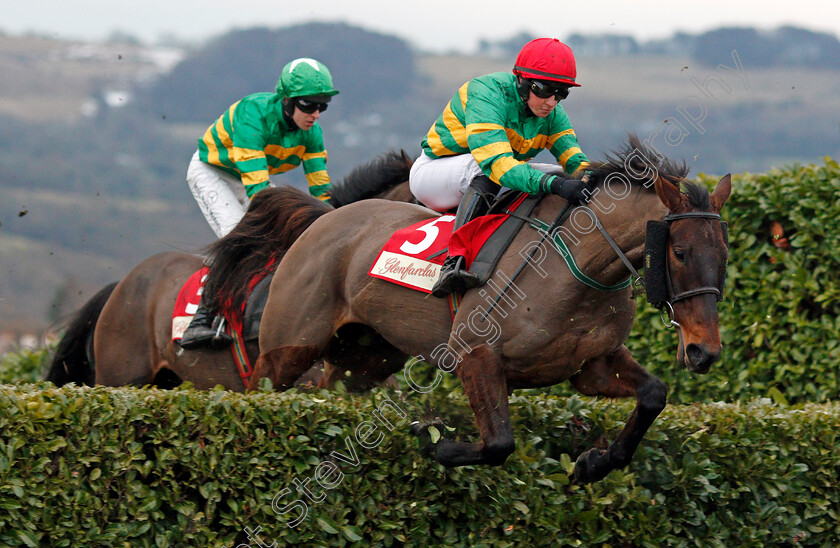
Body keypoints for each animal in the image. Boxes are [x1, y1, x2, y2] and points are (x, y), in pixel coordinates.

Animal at [248, 137, 728, 484]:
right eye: (680, 253)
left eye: (724, 254)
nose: (704, 352)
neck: (575, 267)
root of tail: (323, 218)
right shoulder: (474, 355)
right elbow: (499, 443)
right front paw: (432, 438)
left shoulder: (591, 365)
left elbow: (653, 394)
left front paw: (595, 462)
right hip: (287, 349)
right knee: (260, 390)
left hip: (365, 357)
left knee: (328, 387)